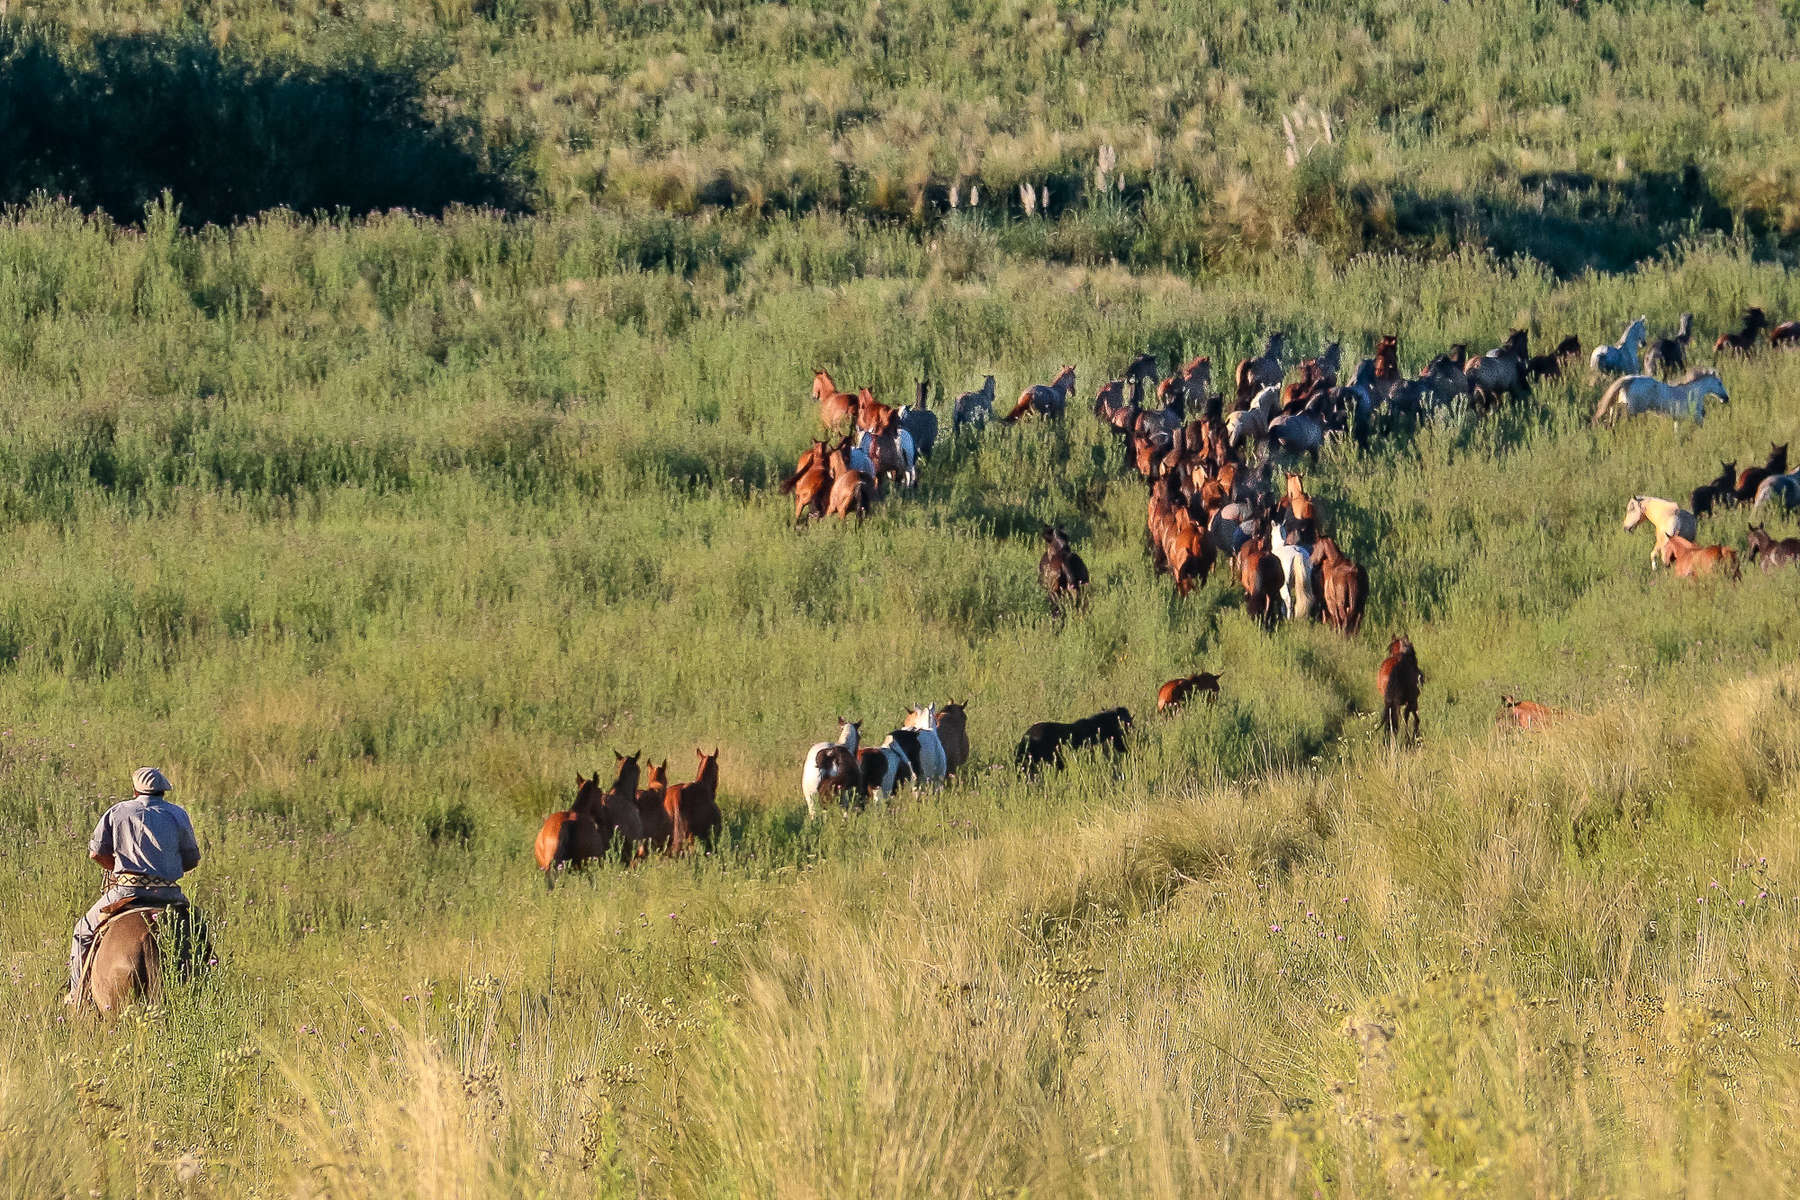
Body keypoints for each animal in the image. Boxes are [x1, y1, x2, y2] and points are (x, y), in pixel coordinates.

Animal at [1591, 377, 1728, 433]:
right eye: (1720, 383)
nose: (1726, 398)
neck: (1693, 392)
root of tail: (1630, 380)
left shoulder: (1678, 420)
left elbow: (1677, 433)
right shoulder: (1696, 417)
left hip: (1625, 405)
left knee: (1612, 412)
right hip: (1632, 409)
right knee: (1618, 413)